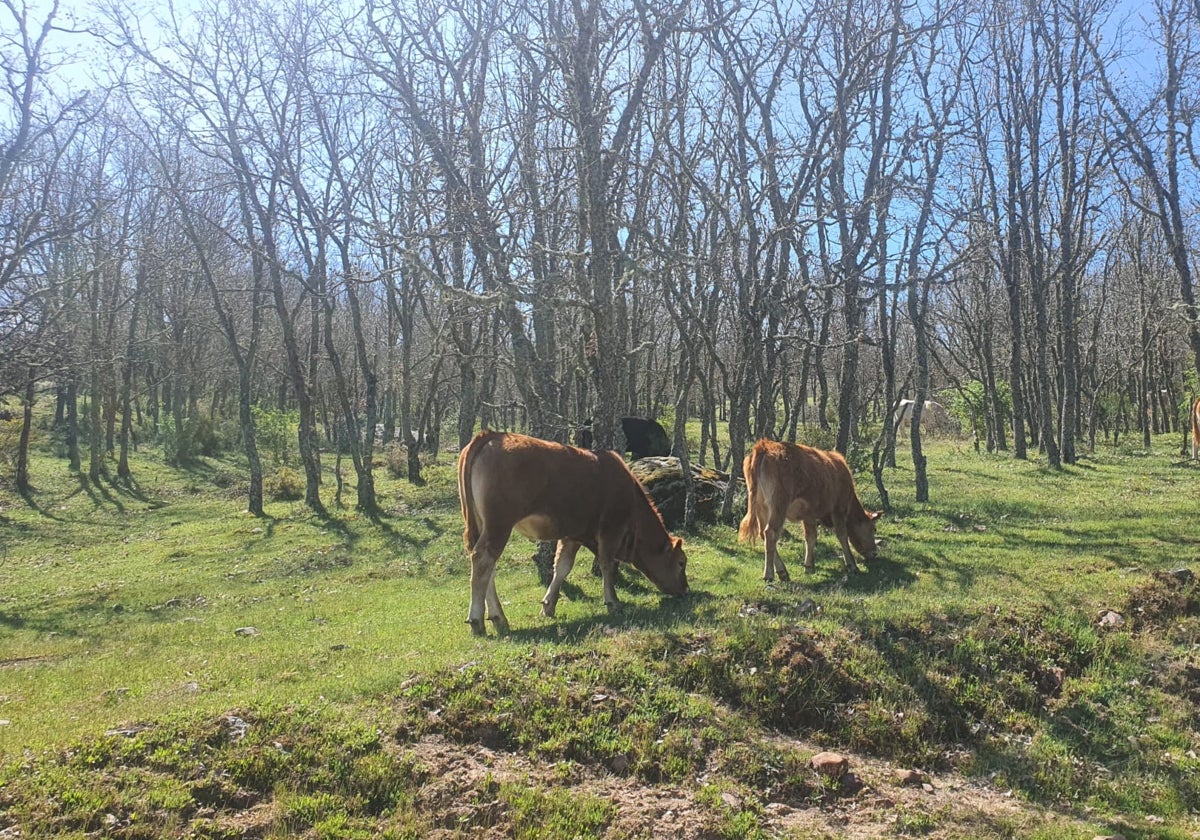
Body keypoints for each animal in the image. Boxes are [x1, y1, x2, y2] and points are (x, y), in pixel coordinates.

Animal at [456, 429, 691, 633]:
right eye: (681, 562)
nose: (685, 590)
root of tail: (491, 435)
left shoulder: (572, 534)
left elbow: (562, 566)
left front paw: (548, 606)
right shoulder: (611, 529)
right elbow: (607, 564)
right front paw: (613, 602)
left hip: (480, 525)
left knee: (486, 565)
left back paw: (498, 619)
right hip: (499, 525)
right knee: (483, 559)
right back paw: (479, 620)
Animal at [734, 436, 878, 580]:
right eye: (873, 529)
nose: (875, 552)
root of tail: (765, 446)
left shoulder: (809, 514)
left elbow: (810, 537)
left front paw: (809, 566)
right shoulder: (838, 509)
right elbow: (842, 535)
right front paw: (852, 564)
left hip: (761, 507)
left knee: (763, 533)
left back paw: (782, 571)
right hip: (779, 505)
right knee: (770, 533)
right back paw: (769, 574)